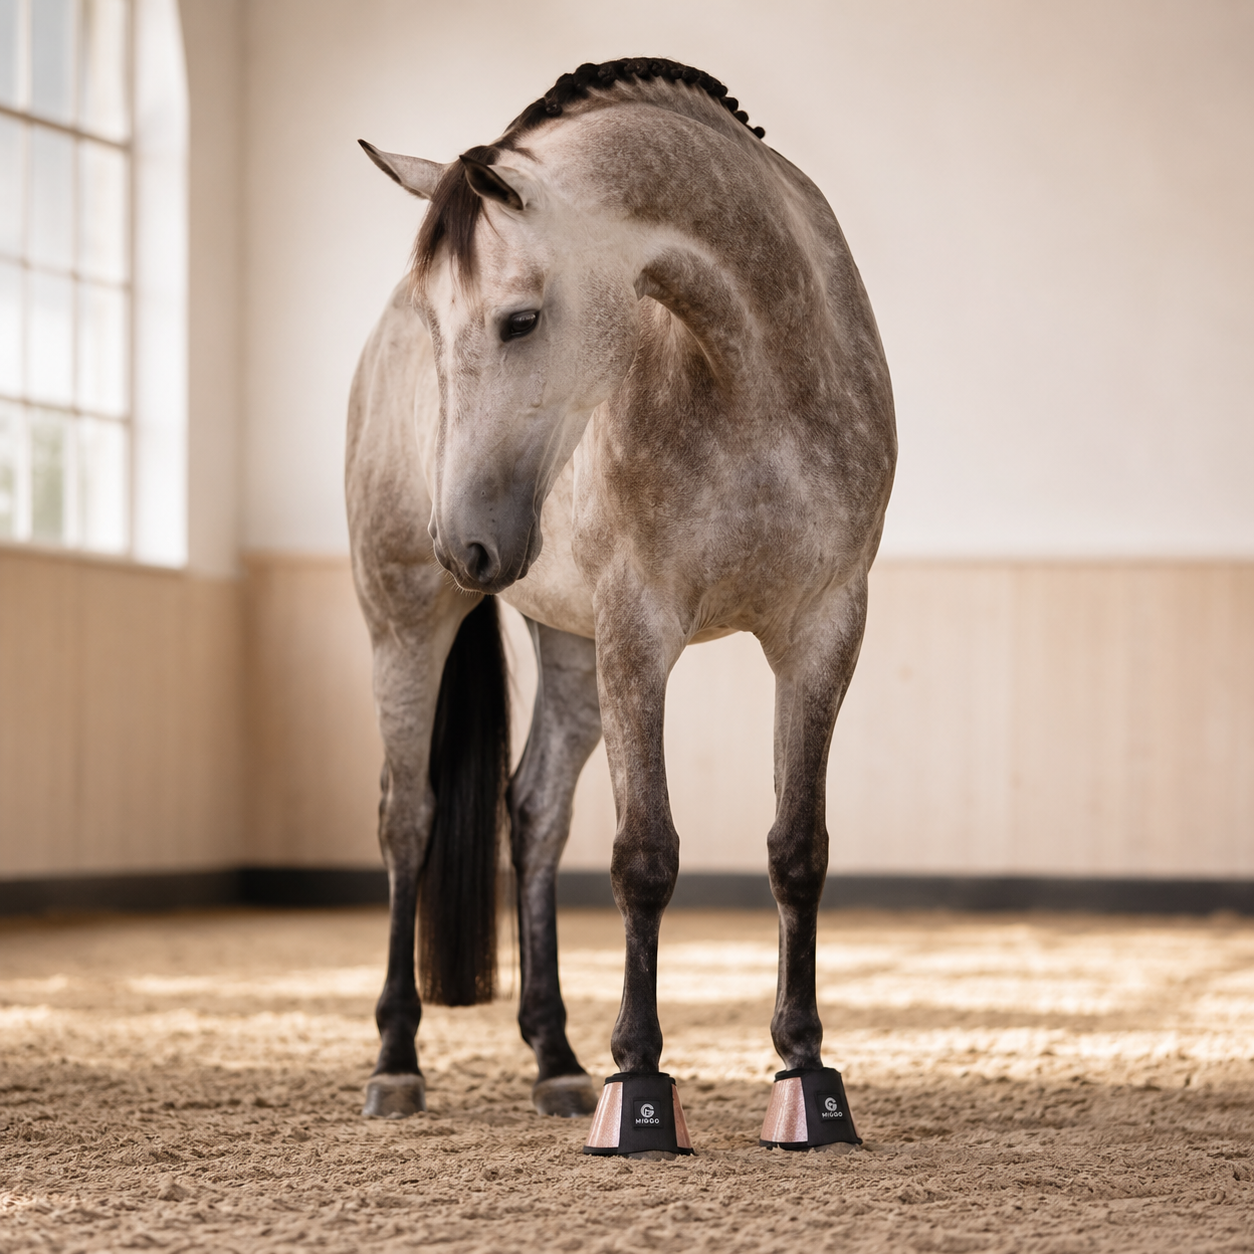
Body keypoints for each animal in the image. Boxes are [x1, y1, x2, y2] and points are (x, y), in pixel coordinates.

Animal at [347, 57, 895, 1149]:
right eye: (437, 326)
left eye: (520, 318)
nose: (464, 541)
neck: (757, 373)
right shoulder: (641, 631)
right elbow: (645, 854)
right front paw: (638, 1081)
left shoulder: (823, 629)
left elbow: (798, 849)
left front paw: (805, 1070)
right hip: (406, 623)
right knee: (408, 818)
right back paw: (397, 1059)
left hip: (569, 647)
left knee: (535, 815)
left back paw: (554, 1056)